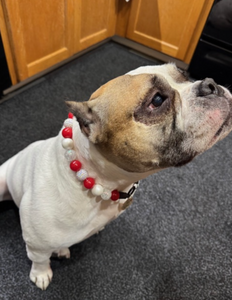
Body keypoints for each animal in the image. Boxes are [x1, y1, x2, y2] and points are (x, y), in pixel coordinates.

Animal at [1, 62, 232, 290]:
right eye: (157, 100)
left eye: (185, 75)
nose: (210, 85)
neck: (97, 178)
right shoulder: (36, 245)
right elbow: (40, 260)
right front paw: (40, 274)